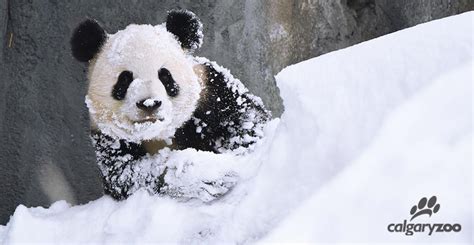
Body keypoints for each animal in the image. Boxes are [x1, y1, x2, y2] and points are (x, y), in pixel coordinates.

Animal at [70, 10, 270, 201]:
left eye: (165, 76)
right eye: (124, 79)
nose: (149, 103)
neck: (157, 133)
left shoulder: (212, 91)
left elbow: (248, 127)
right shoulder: (106, 137)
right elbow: (127, 175)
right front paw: (201, 175)